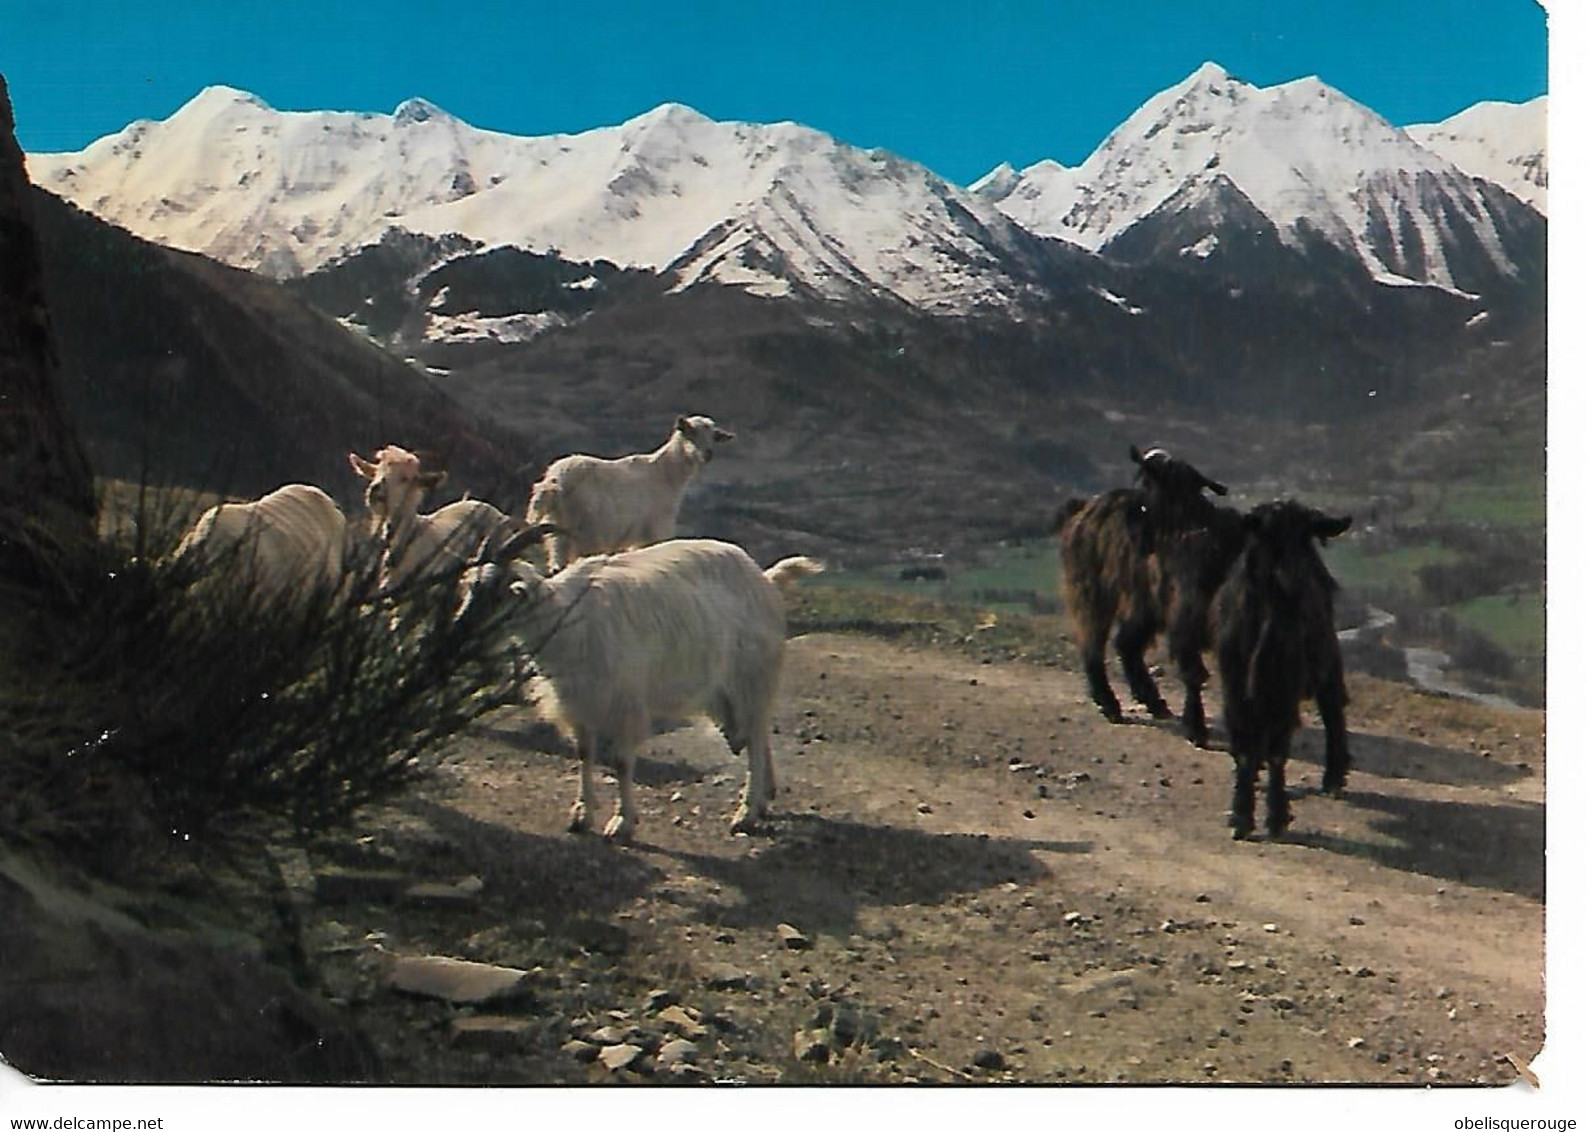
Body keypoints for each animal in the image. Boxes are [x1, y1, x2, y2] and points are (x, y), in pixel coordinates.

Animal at [485, 536, 818, 838]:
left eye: (499, 593)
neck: (566, 617)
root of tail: (766, 579)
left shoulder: (624, 704)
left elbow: (621, 762)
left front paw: (622, 822)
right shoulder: (581, 703)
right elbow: (584, 754)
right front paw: (581, 815)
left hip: (752, 679)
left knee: (756, 741)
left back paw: (746, 813)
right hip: (730, 692)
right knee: (755, 735)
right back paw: (764, 798)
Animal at [526, 415, 736, 574]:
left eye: (714, 436)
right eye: (689, 433)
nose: (707, 454)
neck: (666, 473)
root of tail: (557, 479)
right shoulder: (656, 530)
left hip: (556, 533)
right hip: (585, 533)